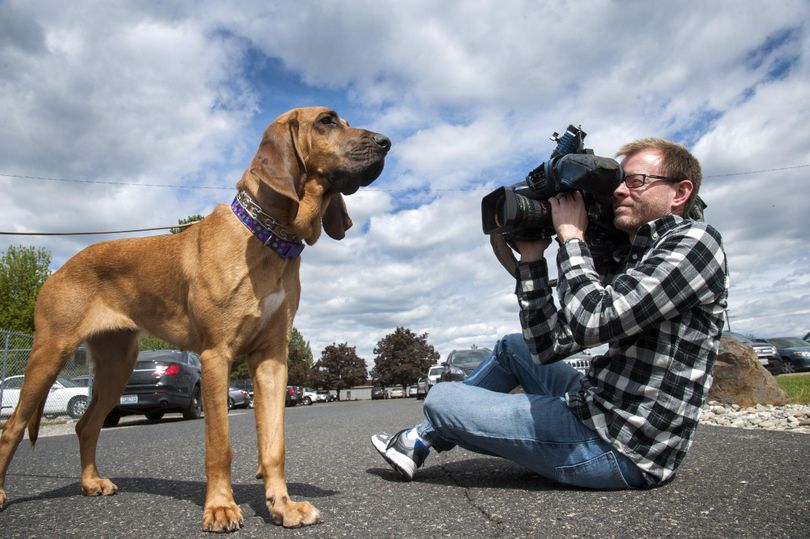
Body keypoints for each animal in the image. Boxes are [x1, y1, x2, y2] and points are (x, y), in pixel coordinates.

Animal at [0, 106, 388, 532]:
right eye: (326, 121)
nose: (386, 142)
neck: (269, 236)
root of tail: (58, 270)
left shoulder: (271, 358)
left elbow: (274, 444)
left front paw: (282, 506)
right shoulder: (216, 356)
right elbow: (220, 445)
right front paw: (220, 507)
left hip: (118, 366)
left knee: (86, 425)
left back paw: (91, 483)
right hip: (49, 355)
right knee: (12, 427)